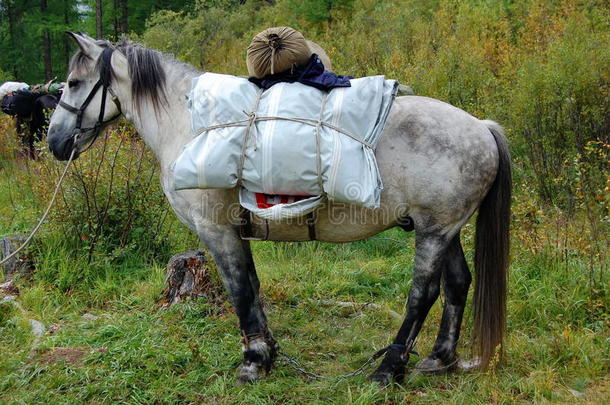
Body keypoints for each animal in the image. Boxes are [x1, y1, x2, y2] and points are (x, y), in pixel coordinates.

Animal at [46, 33, 508, 384]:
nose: (55, 143)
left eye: (73, 82)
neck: (190, 124)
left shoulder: (216, 232)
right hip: (444, 230)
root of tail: (481, 126)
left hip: (433, 232)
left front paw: (252, 362)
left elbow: (239, 292)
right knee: (457, 284)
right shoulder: (237, 232)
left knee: (423, 294)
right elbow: (252, 288)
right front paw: (267, 352)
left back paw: (389, 369)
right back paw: (439, 358)